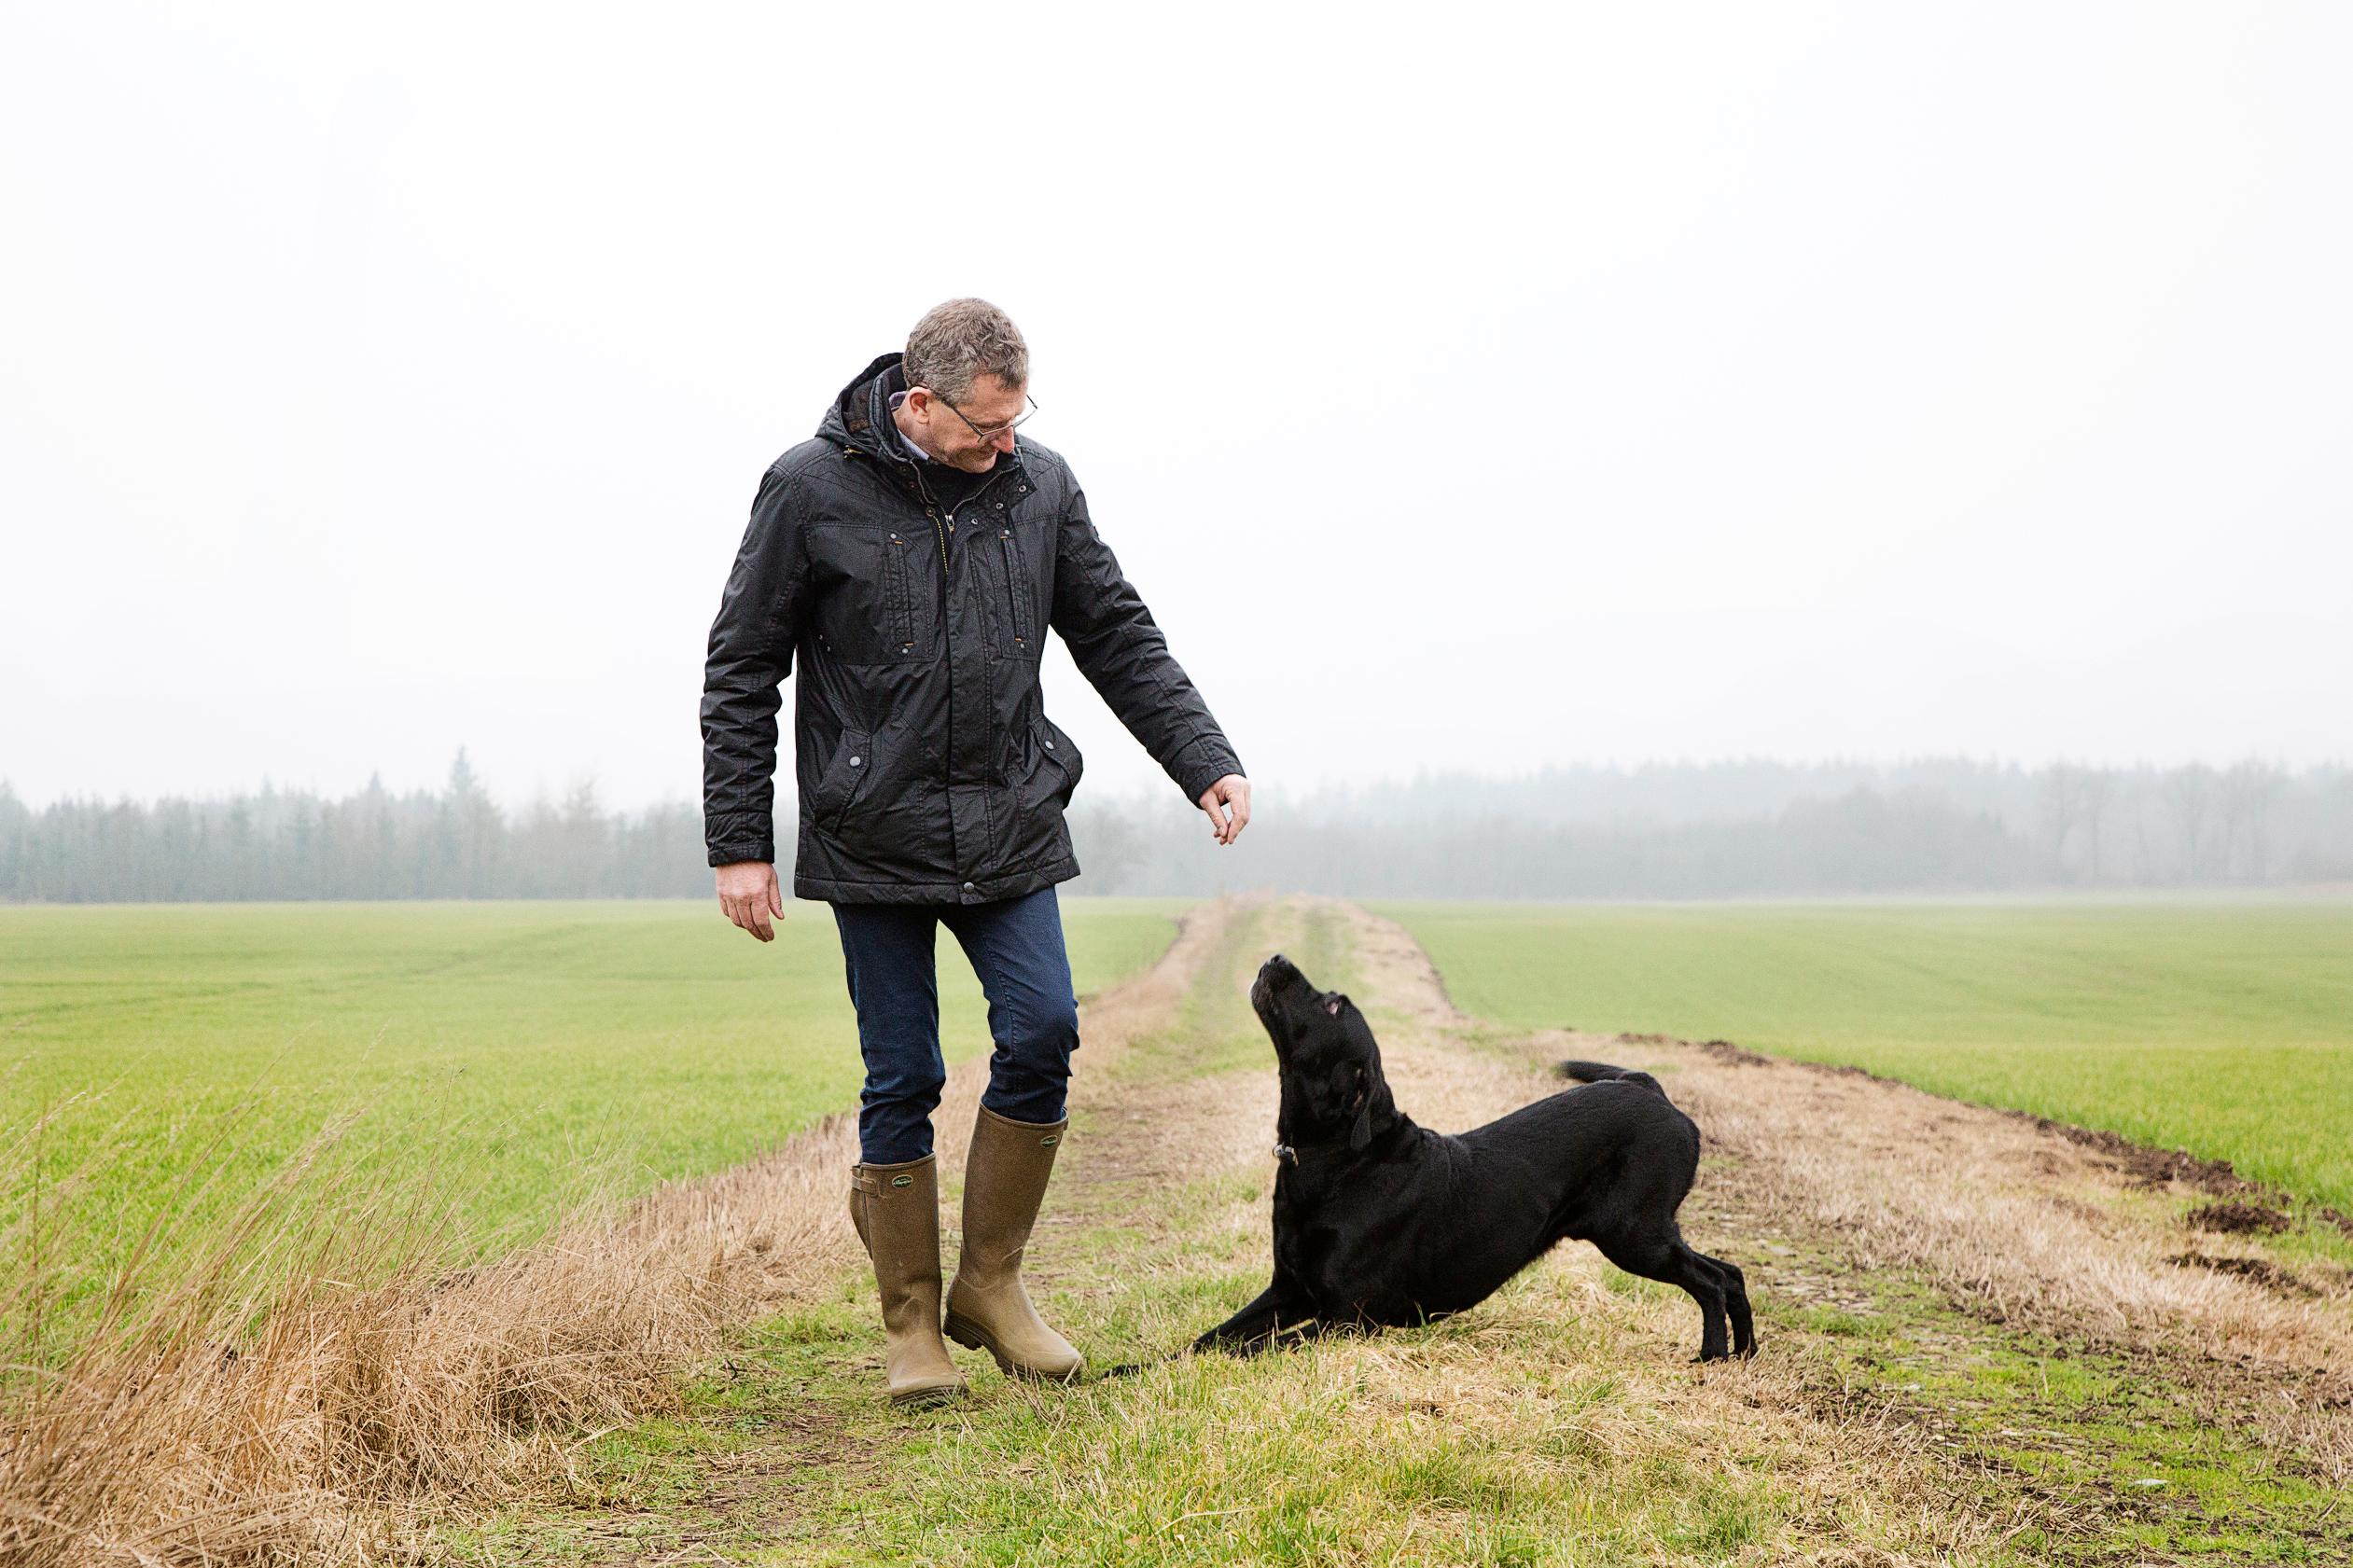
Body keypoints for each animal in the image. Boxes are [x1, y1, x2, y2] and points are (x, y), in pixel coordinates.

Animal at [1195, 950, 1750, 1363]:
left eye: (1332, 1007)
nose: (1277, 957)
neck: (1332, 1159)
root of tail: (1651, 1089)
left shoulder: (1349, 1316)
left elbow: (1252, 1347)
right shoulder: (1290, 1290)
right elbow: (1210, 1339)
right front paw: (1170, 1363)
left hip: (1633, 1232)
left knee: (1710, 1281)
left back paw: (1712, 1356)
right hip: (1645, 1231)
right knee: (1730, 1273)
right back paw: (1745, 1354)